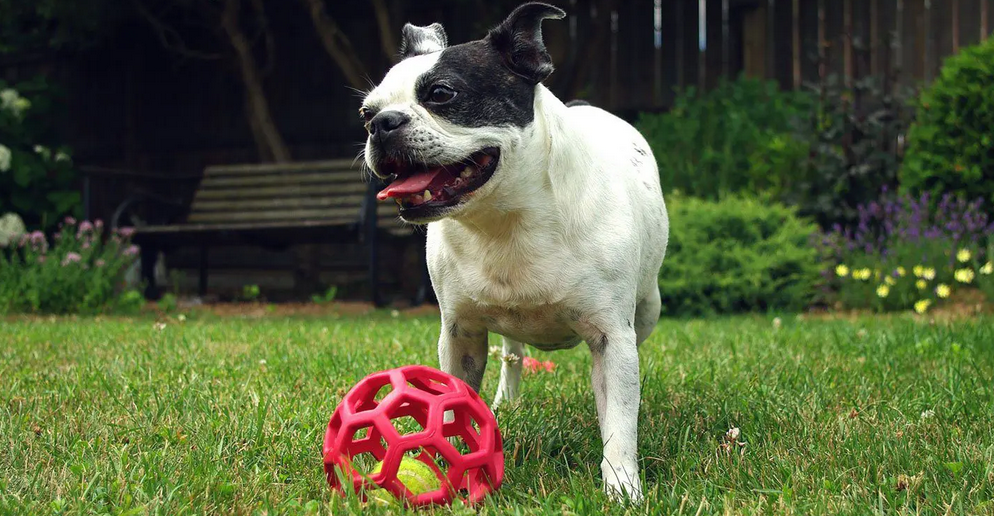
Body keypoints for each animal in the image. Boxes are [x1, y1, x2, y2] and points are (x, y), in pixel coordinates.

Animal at [358, 2, 668, 502]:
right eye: (365, 110)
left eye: (441, 93)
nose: (380, 124)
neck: (504, 220)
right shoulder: (459, 336)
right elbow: (451, 406)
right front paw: (439, 464)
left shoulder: (612, 339)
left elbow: (620, 419)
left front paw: (622, 486)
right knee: (513, 354)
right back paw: (507, 402)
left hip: (646, 311)